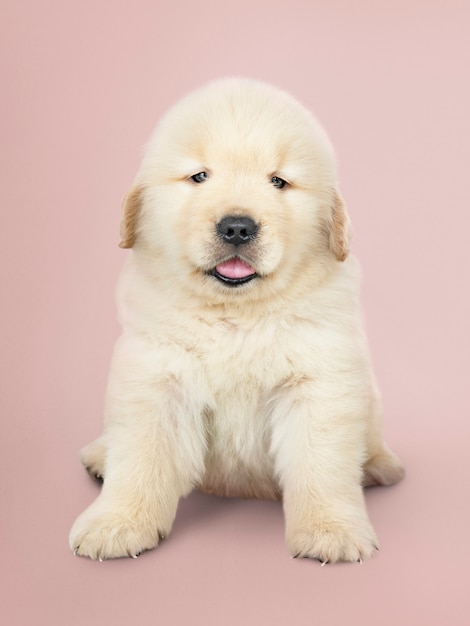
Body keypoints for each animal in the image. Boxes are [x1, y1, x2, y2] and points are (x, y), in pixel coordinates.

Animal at [70, 77, 404, 560]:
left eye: (279, 181)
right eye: (199, 176)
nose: (237, 227)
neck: (237, 313)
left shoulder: (318, 381)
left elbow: (321, 464)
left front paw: (331, 531)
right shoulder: (155, 377)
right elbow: (141, 457)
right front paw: (116, 523)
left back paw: (380, 466)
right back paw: (100, 455)